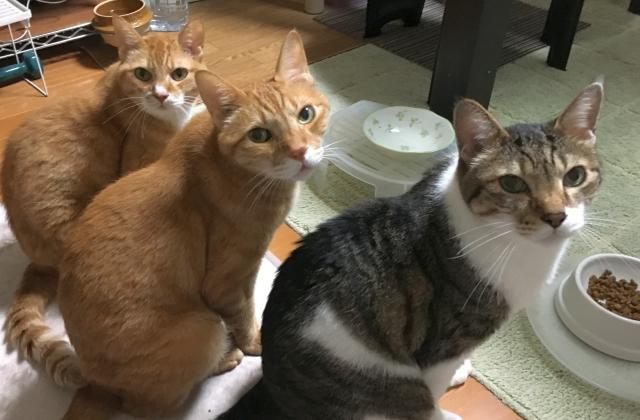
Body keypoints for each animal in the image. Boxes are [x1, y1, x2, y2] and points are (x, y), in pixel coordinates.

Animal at [50, 30, 329, 419]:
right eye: (259, 135)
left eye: (306, 114)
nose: (301, 152)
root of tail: (94, 382)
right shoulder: (229, 281)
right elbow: (244, 314)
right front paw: (256, 343)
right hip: (204, 329)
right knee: (146, 406)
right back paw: (226, 358)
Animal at [219, 81, 604, 420]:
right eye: (512, 184)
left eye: (574, 176)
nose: (556, 216)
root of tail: (273, 390)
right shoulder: (445, 342)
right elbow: (434, 389)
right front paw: (442, 410)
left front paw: (460, 373)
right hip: (389, 382)